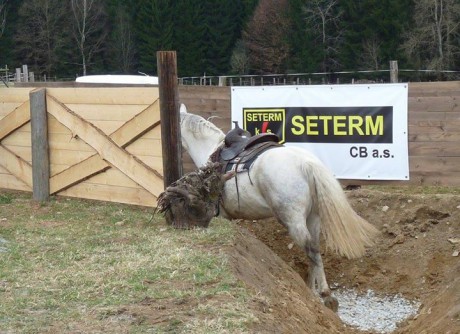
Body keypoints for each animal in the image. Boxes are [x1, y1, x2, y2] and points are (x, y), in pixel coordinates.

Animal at [178, 105, 380, 310]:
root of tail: (307, 163)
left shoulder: (221, 216)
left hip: (293, 220)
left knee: (310, 249)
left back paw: (325, 294)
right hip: (313, 218)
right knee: (315, 248)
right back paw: (312, 290)